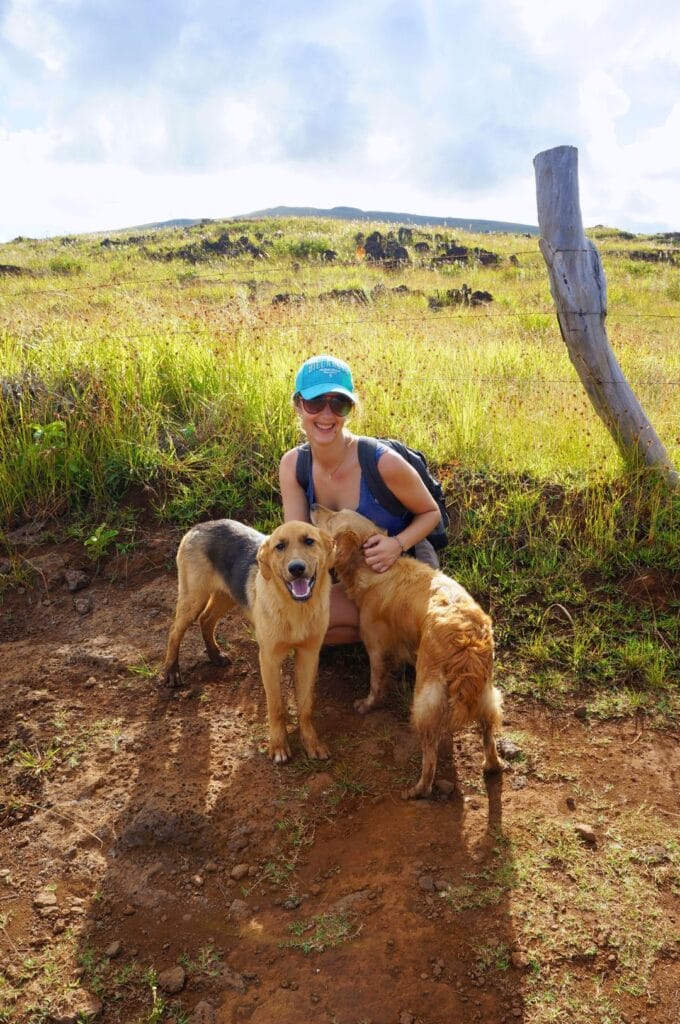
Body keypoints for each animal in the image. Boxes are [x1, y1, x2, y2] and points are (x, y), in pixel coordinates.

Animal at [159, 520, 333, 761]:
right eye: (280, 546)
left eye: (309, 541)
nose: (296, 568)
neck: (296, 609)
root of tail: (199, 526)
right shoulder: (268, 659)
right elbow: (275, 707)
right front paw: (278, 746)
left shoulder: (309, 655)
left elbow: (306, 706)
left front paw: (312, 743)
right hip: (193, 598)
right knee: (175, 631)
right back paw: (172, 671)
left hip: (226, 595)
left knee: (206, 619)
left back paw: (215, 655)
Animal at [311, 507, 501, 794]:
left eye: (333, 518)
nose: (313, 506)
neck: (372, 569)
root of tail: (467, 638)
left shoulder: (376, 646)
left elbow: (376, 682)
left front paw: (367, 705)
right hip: (487, 693)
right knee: (489, 736)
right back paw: (491, 766)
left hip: (424, 700)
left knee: (430, 758)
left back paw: (418, 790)